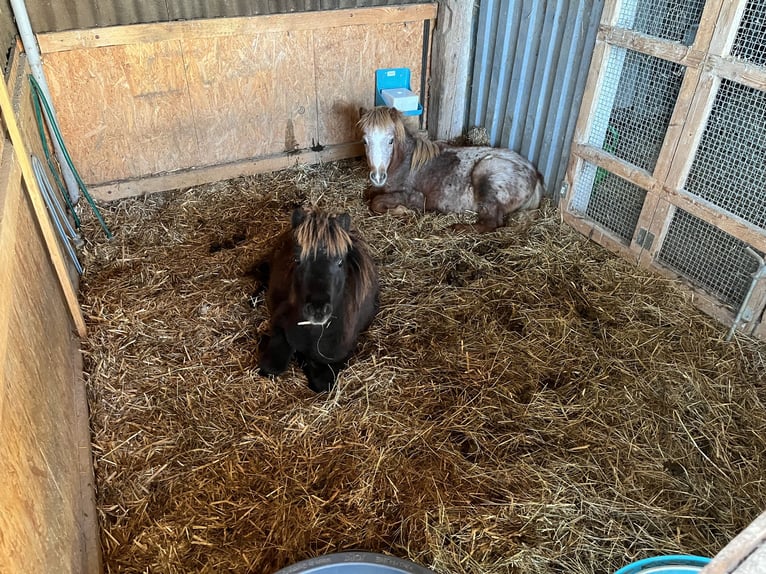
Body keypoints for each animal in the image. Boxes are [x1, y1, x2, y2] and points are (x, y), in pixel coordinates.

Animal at [260, 209, 380, 394]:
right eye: (297, 259)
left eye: (340, 262)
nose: (318, 309)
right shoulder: (279, 325)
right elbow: (273, 367)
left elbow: (321, 383)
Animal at [362, 107, 544, 233]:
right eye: (365, 141)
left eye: (391, 141)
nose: (378, 177)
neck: (406, 163)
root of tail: (534, 175)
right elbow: (369, 195)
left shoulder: (414, 197)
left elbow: (375, 202)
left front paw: (402, 211)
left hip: (485, 171)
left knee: (492, 223)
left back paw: (456, 228)